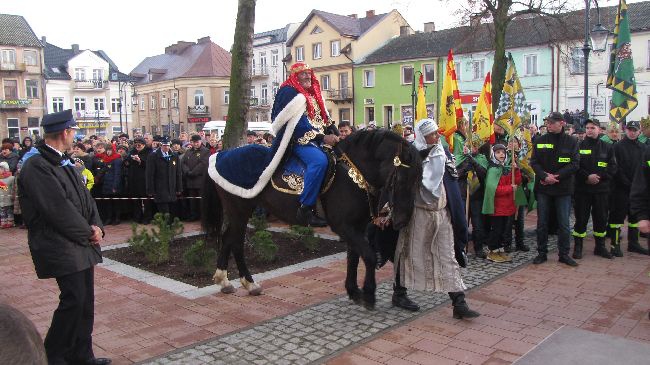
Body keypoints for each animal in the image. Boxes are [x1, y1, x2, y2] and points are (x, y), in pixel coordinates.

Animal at [200, 129, 420, 308]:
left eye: (418, 179)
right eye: (400, 179)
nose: (402, 220)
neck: (353, 174)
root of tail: (219, 154)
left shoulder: (355, 227)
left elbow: (353, 257)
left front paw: (353, 290)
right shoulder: (345, 227)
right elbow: (369, 256)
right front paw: (368, 294)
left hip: (241, 208)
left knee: (228, 238)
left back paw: (226, 281)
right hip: (239, 208)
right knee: (236, 242)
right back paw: (249, 283)